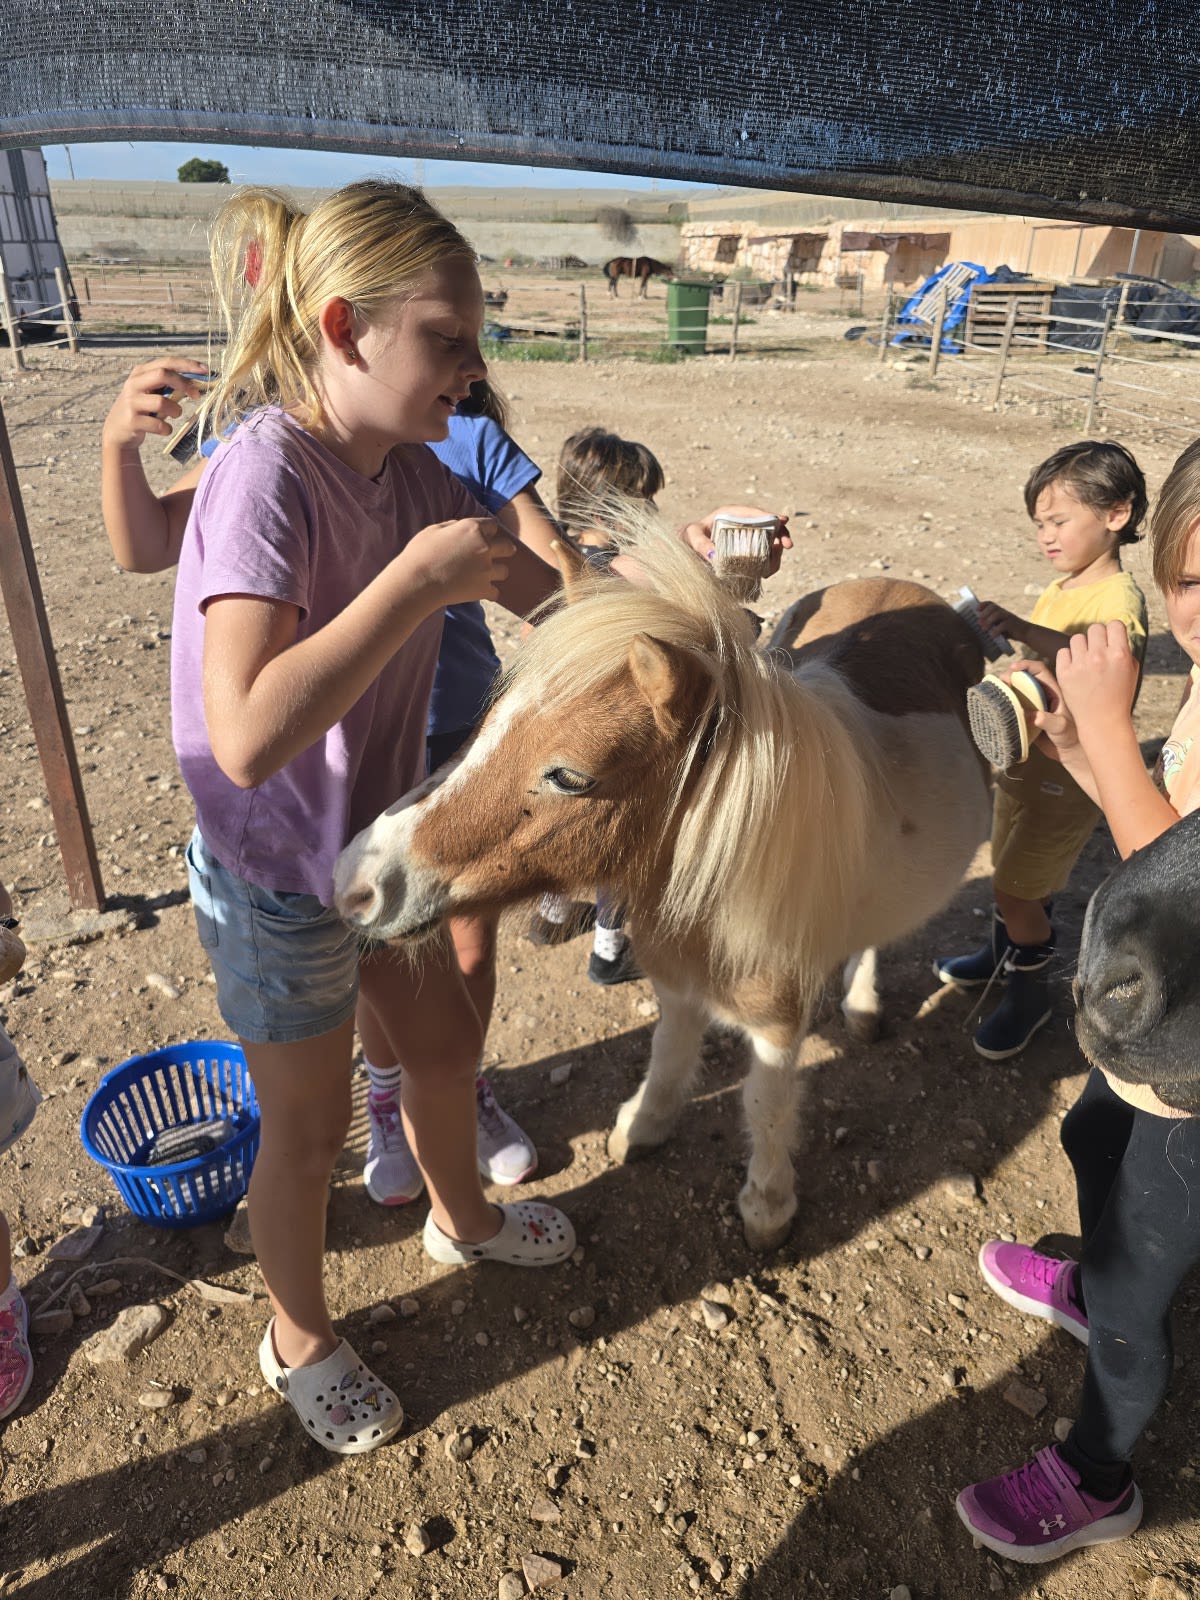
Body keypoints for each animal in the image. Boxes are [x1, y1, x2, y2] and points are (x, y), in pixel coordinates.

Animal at [333, 527, 990, 1250]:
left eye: (570, 776)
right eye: (490, 725)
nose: (355, 883)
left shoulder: (779, 1020)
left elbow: (764, 1103)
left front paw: (767, 1206)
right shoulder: (674, 981)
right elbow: (668, 1054)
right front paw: (640, 1128)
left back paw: (864, 1004)